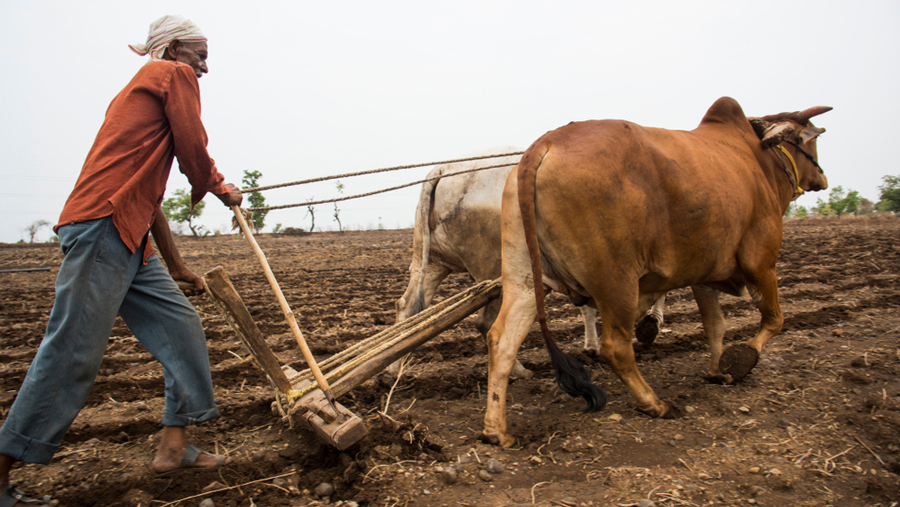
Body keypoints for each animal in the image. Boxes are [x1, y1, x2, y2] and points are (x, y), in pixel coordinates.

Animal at [396, 147, 668, 378]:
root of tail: (443, 170)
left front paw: (593, 346)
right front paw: (650, 325)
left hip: (431, 263)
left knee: (408, 309)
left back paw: (394, 371)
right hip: (495, 270)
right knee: (488, 324)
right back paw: (518, 370)